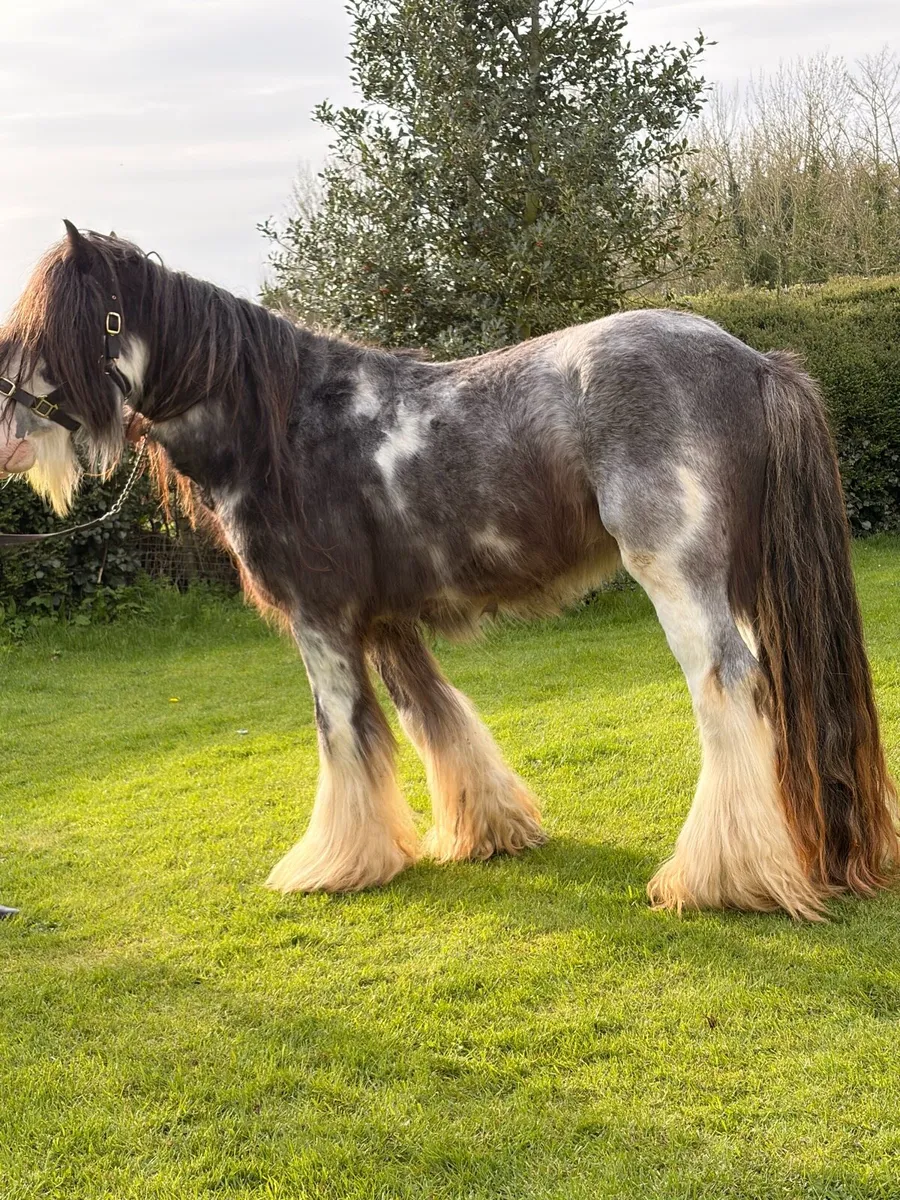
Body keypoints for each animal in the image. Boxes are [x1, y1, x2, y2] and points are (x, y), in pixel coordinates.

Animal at [1, 223, 896, 918]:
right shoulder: (386, 619)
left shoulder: (321, 622)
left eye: (71, 326)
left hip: (681, 579)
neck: (285, 426)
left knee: (727, 687)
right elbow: (434, 717)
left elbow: (343, 731)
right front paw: (488, 833)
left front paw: (333, 864)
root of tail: (752, 361)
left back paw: (717, 878)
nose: (10, 437)